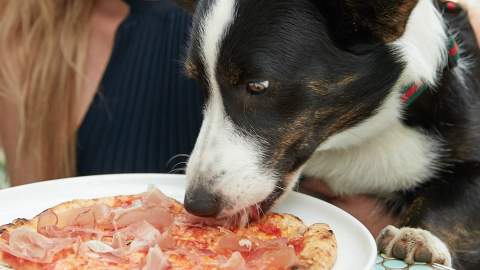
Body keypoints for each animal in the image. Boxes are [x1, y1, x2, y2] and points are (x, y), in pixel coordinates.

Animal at [174, 0, 478, 268]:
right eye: (200, 83)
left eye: (258, 86)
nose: (196, 204)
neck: (356, 134)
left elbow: (447, 204)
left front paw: (417, 236)